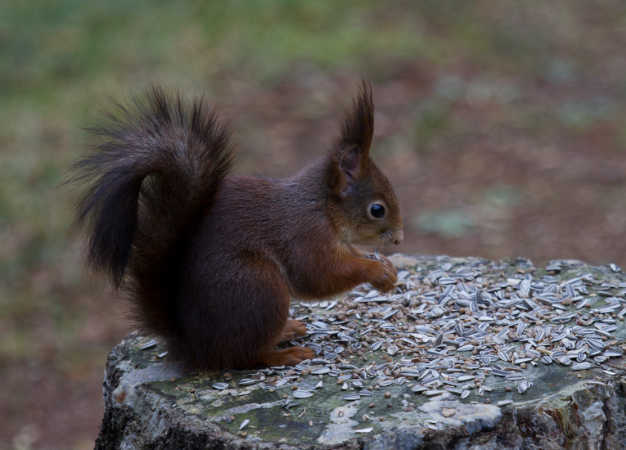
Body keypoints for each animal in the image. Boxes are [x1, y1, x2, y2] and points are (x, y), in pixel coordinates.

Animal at [74, 82, 404, 370]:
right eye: (377, 210)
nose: (399, 239)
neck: (322, 206)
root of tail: (192, 345)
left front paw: (387, 267)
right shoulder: (305, 234)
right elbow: (320, 275)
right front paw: (377, 271)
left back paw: (287, 332)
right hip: (258, 287)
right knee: (245, 356)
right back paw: (285, 354)